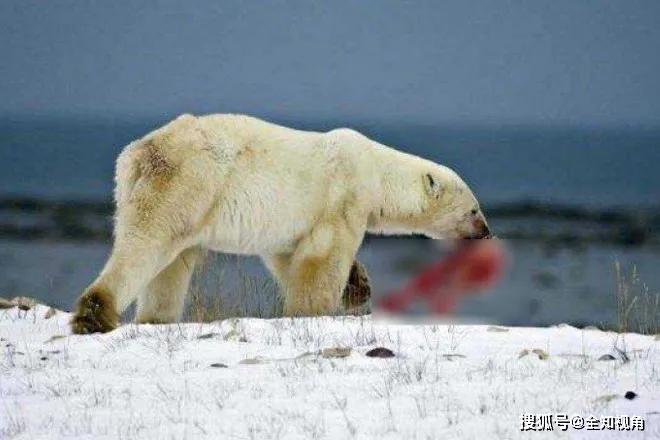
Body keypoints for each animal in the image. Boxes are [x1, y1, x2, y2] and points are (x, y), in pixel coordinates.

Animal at [71, 113, 490, 334]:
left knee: (171, 263)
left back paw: (156, 318)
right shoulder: (343, 195)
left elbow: (287, 256)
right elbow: (325, 255)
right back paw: (95, 314)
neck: (376, 169)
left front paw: (358, 286)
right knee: (147, 244)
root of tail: (139, 153)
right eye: (474, 209)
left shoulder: (291, 222)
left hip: (152, 192)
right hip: (189, 182)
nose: (486, 231)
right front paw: (314, 310)